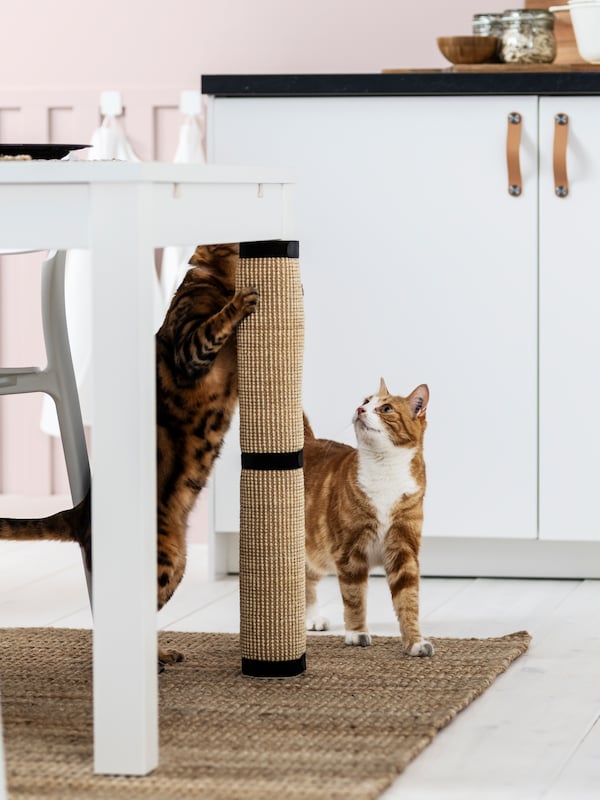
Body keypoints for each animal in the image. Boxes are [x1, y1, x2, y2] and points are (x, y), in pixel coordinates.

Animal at [0, 241, 255, 664]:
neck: (218, 279)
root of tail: (79, 512)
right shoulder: (187, 350)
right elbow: (213, 325)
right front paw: (239, 303)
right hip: (160, 560)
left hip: (176, 562)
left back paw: (160, 656)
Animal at [302, 380, 434, 656]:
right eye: (365, 401)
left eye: (386, 408)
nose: (360, 409)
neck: (384, 470)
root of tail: (308, 440)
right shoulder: (349, 552)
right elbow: (354, 598)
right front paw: (356, 633)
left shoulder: (403, 549)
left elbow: (408, 600)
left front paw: (415, 642)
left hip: (319, 550)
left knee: (308, 576)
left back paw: (312, 617)